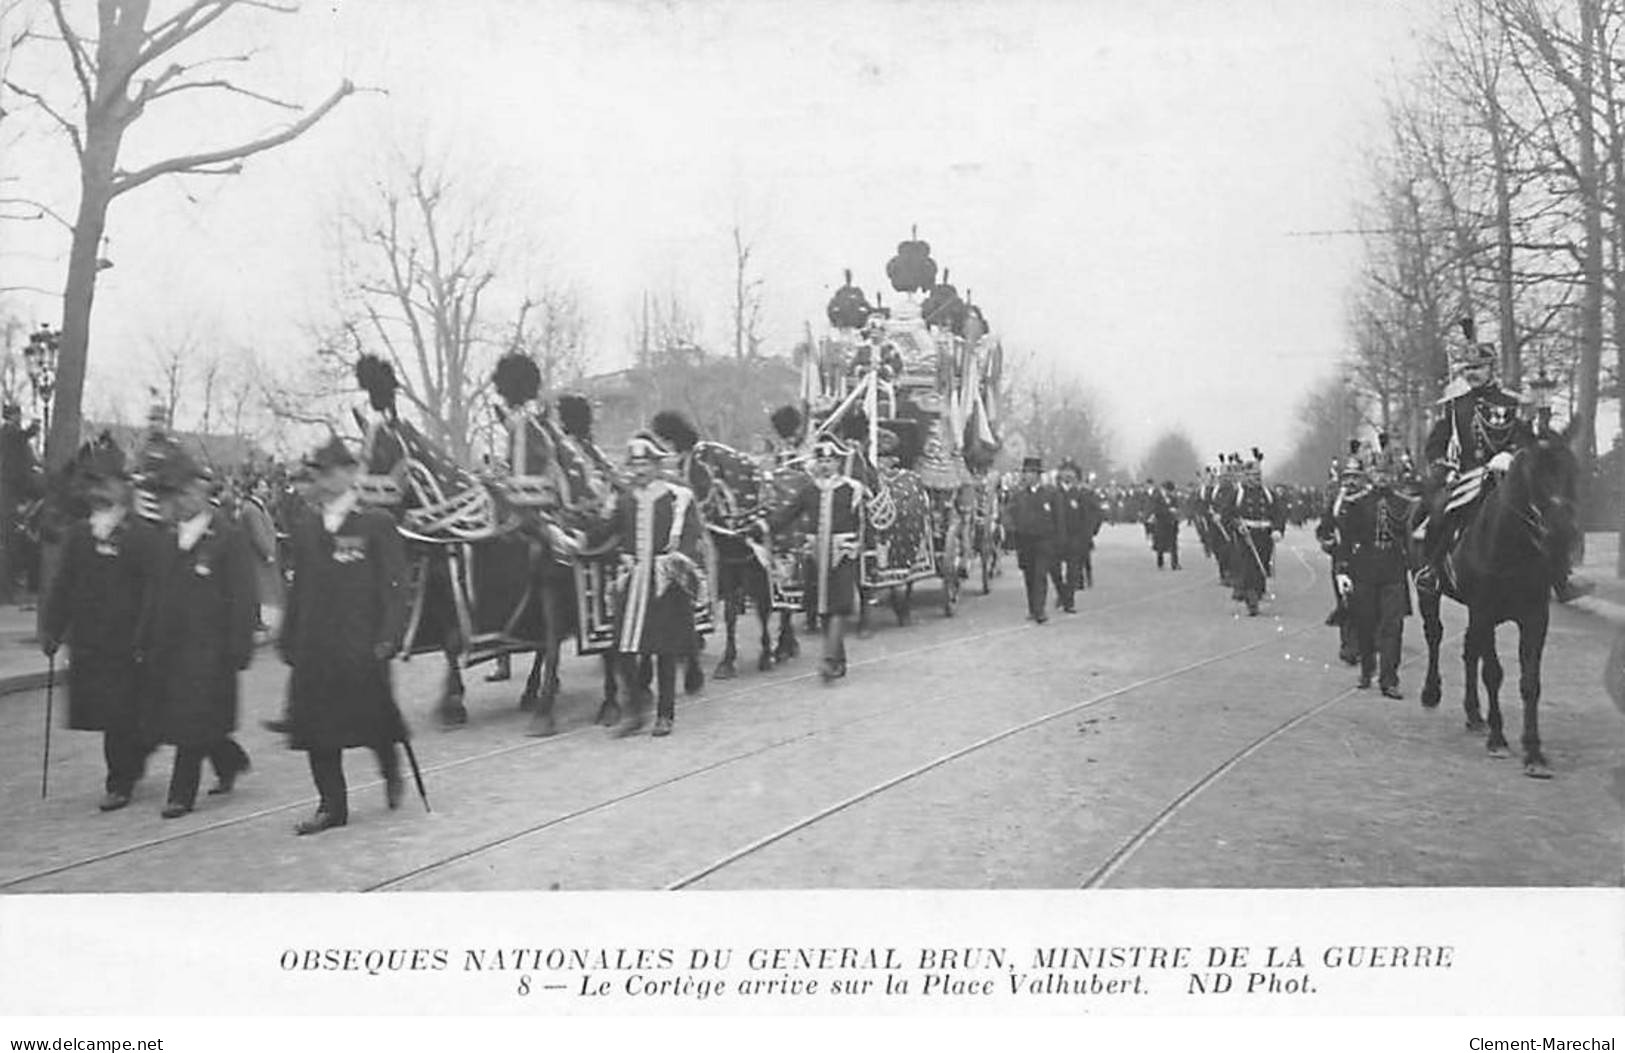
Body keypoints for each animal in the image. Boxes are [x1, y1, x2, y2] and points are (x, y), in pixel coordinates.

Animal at [1417, 422, 1579, 776]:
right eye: (1533, 473)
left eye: (1572, 468)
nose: (1562, 536)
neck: (1512, 545)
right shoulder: (1485, 612)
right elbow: (1493, 672)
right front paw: (1498, 739)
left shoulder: (1535, 618)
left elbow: (1530, 682)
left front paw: (1534, 752)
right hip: (1430, 592)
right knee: (1435, 636)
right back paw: (1431, 692)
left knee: (1468, 651)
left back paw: (1474, 715)